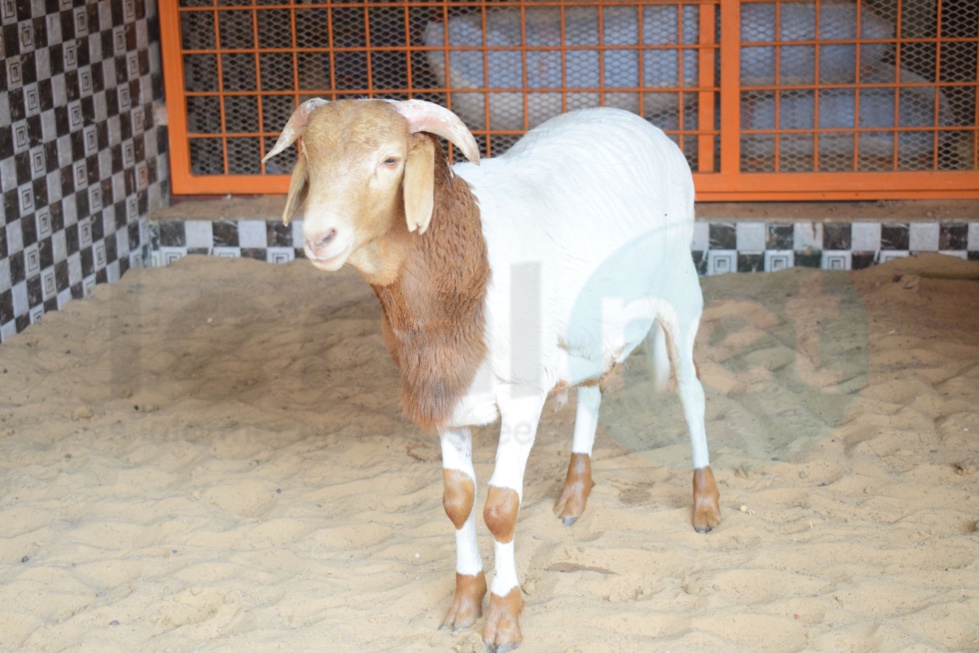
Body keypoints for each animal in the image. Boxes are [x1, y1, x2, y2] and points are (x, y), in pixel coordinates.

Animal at [262, 98, 720, 652]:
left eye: (391, 160)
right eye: (308, 155)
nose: (319, 237)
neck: (464, 269)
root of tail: (629, 117)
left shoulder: (522, 397)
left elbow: (501, 507)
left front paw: (503, 616)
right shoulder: (444, 392)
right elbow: (457, 501)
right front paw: (464, 604)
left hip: (680, 289)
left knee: (692, 392)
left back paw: (705, 505)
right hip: (589, 326)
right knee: (592, 391)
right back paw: (574, 493)